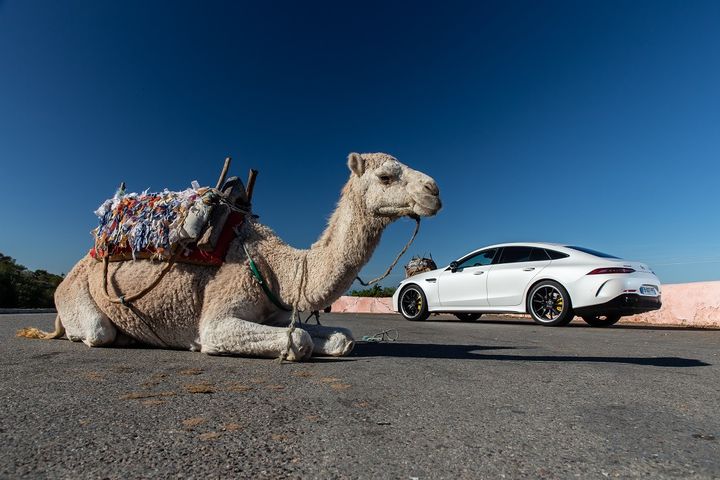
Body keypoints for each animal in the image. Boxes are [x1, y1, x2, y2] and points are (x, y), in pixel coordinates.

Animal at [21, 153, 438, 360]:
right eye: (386, 177)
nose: (434, 190)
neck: (280, 268)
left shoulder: (277, 313)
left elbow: (341, 337)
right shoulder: (220, 314)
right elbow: (301, 341)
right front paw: (195, 344)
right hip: (77, 297)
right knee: (96, 332)